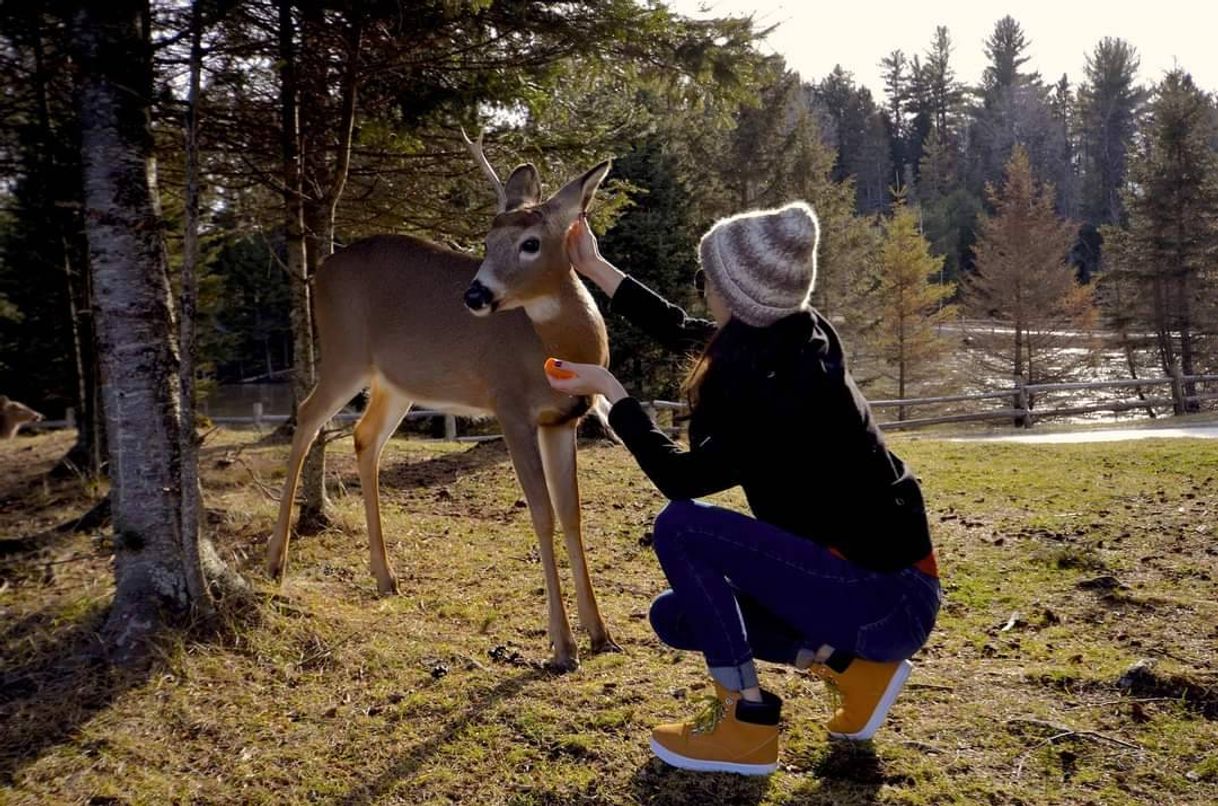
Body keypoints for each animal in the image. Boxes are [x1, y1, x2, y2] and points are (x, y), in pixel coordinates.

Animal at [261, 135, 613, 672]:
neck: (561, 349)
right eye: (486, 243)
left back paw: (385, 576)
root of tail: (319, 271)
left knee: (364, 436)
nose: (475, 294)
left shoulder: (561, 421)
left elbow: (571, 514)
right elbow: (542, 513)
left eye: (530, 243)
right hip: (345, 353)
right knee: (306, 417)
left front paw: (600, 633)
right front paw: (562, 645)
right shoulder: (509, 404)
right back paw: (276, 561)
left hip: (395, 384)